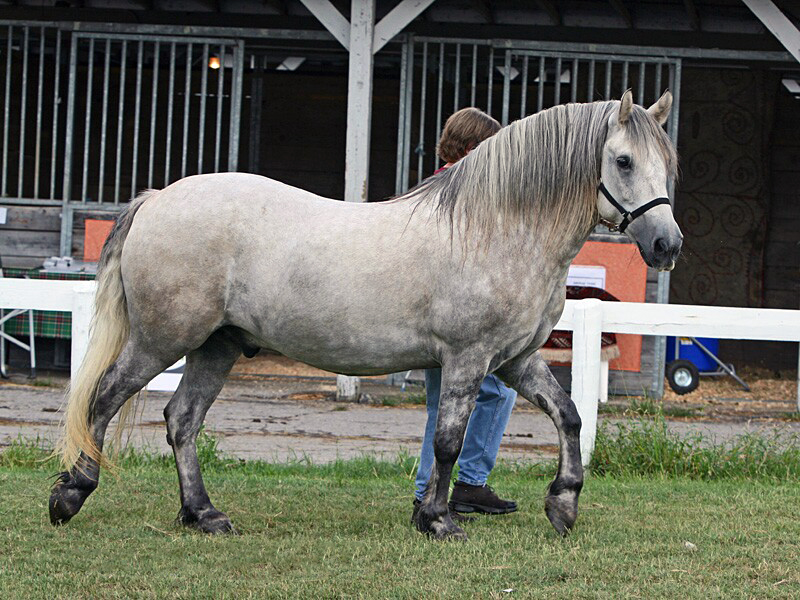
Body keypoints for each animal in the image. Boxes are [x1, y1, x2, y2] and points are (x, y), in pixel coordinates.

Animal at [50, 91, 680, 540]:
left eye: (666, 166)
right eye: (623, 161)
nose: (666, 244)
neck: (496, 228)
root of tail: (158, 198)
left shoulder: (515, 360)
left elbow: (568, 416)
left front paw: (564, 503)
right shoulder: (468, 360)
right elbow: (448, 440)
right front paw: (438, 521)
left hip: (218, 344)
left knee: (182, 419)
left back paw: (203, 514)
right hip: (162, 340)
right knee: (103, 398)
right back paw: (71, 494)